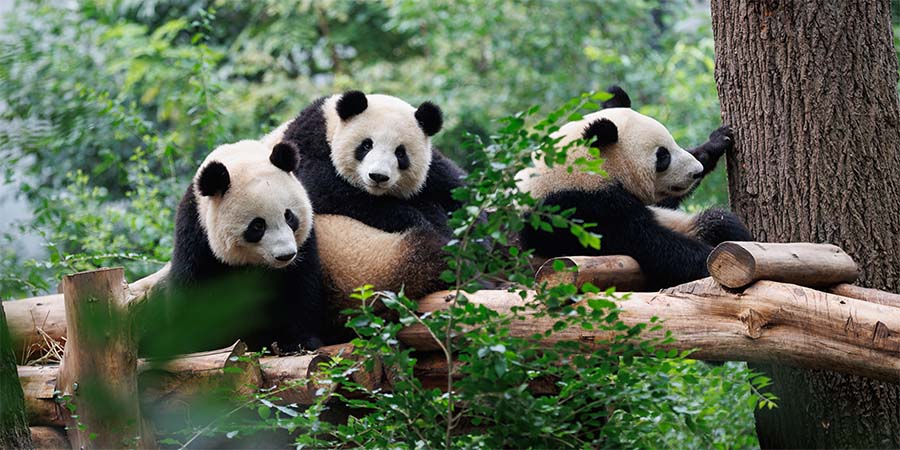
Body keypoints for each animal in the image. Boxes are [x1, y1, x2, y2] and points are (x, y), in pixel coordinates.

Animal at [160, 139, 328, 354]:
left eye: (289, 216)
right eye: (258, 226)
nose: (285, 255)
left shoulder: (304, 245)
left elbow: (300, 287)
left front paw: (299, 342)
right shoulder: (196, 234)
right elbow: (193, 292)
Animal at [264, 91, 465, 308]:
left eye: (400, 153)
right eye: (367, 145)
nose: (378, 176)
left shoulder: (433, 171)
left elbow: (454, 187)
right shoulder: (306, 144)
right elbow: (323, 188)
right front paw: (415, 218)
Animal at [517, 92, 751, 290]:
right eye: (663, 156)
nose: (696, 171)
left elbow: (664, 203)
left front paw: (717, 142)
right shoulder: (581, 209)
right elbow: (649, 244)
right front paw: (709, 261)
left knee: (718, 221)